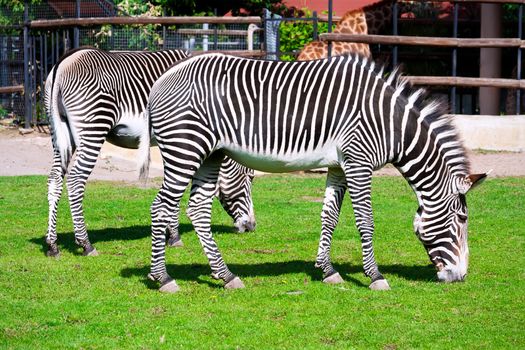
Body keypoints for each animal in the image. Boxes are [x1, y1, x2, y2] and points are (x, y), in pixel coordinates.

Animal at [44, 47, 255, 258]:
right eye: (250, 177)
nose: (251, 227)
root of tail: (64, 63)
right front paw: (174, 236)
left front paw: (171, 233)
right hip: (92, 130)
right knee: (75, 180)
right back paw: (86, 244)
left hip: (60, 133)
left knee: (54, 179)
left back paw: (52, 245)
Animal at [140, 52, 488, 292]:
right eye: (462, 220)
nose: (460, 277)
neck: (392, 125)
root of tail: (161, 80)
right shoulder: (359, 161)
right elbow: (365, 220)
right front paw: (375, 276)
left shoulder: (338, 165)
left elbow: (329, 216)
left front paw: (328, 270)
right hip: (186, 148)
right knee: (160, 207)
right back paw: (163, 278)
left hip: (211, 154)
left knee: (198, 209)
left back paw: (226, 276)